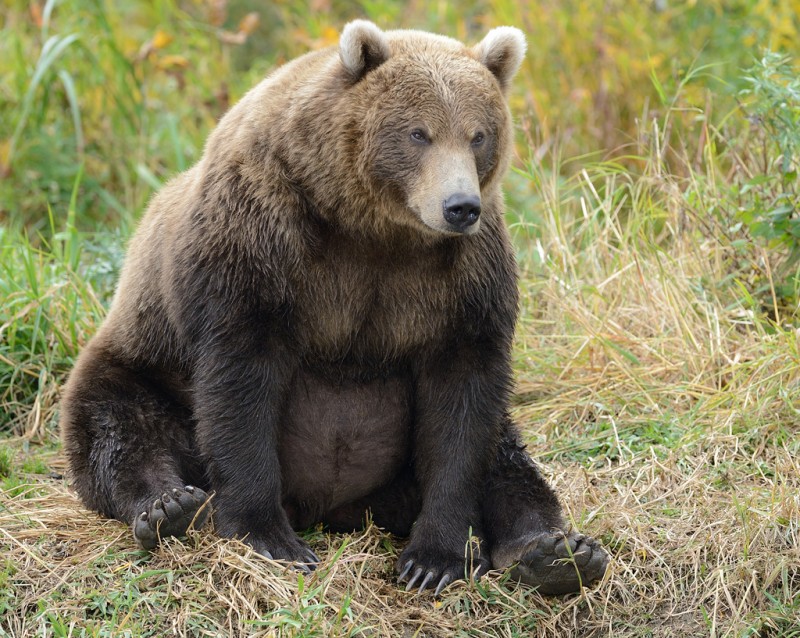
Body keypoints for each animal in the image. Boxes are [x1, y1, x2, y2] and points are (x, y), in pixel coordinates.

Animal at [60, 20, 609, 596]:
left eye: (478, 134)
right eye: (419, 133)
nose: (460, 206)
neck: (370, 224)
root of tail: (340, 510)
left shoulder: (460, 282)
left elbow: (462, 411)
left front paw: (435, 558)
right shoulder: (260, 245)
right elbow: (240, 389)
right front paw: (268, 537)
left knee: (506, 458)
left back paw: (556, 552)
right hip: (145, 360)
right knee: (119, 424)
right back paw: (168, 506)